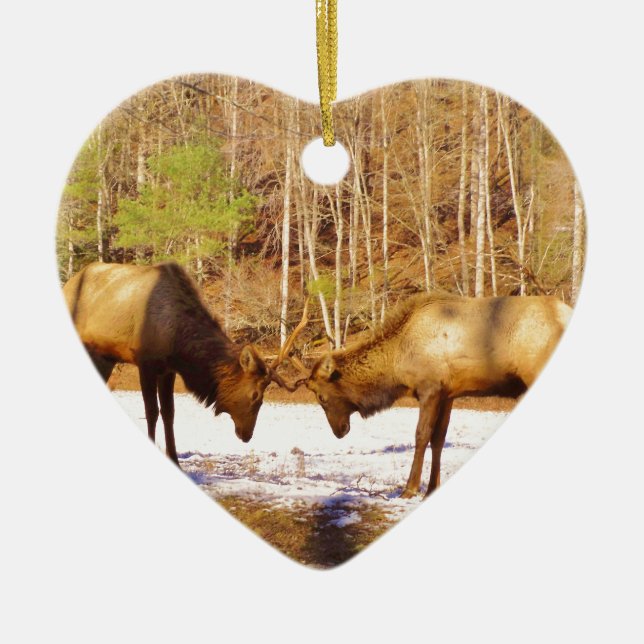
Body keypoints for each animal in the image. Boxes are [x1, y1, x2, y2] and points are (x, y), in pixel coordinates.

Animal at [63, 261, 307, 465]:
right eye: (256, 396)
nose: (247, 435)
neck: (178, 345)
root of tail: (68, 283)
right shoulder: (146, 363)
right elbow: (152, 411)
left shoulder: (168, 370)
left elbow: (169, 413)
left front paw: (174, 459)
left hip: (105, 357)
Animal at [293, 293, 572, 498]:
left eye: (321, 397)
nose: (339, 431)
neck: (397, 364)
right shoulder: (448, 393)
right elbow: (439, 438)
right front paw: (431, 488)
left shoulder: (430, 388)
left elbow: (421, 435)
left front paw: (410, 489)